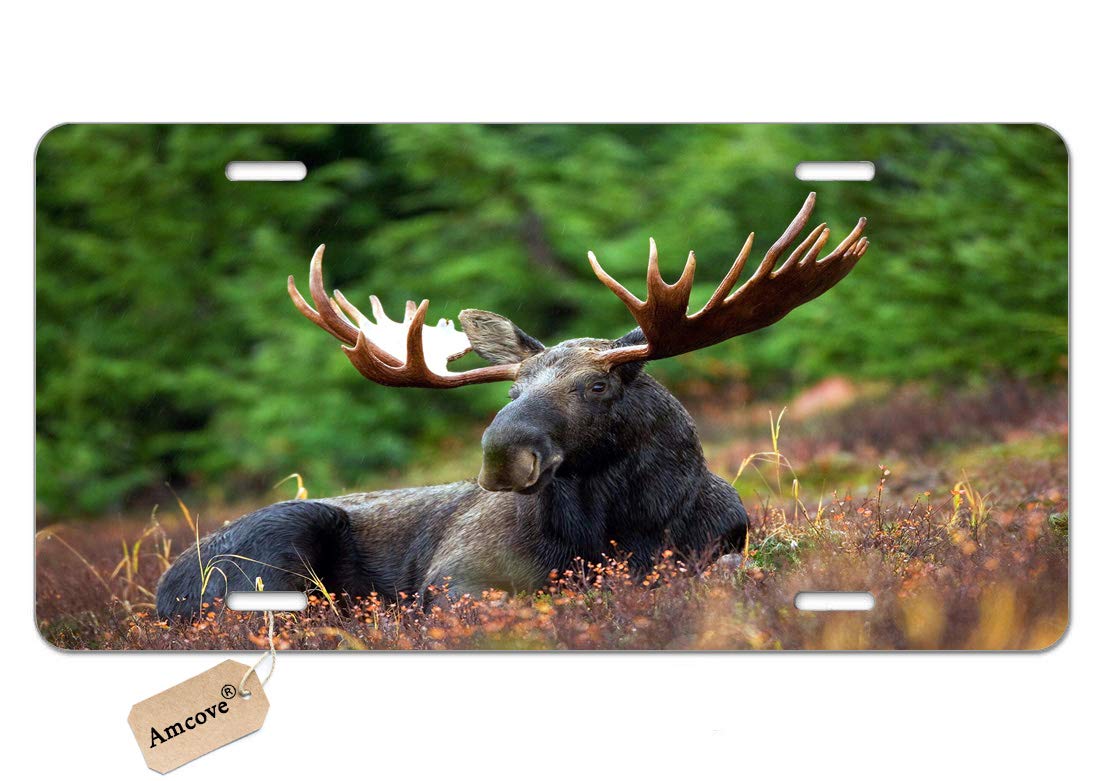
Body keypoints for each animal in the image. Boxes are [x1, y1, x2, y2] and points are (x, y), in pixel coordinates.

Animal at [156, 193, 868, 618]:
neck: (626, 529)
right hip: (271, 550)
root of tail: (163, 590)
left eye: (598, 386)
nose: (502, 456)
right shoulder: (455, 577)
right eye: (511, 390)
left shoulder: (722, 546)